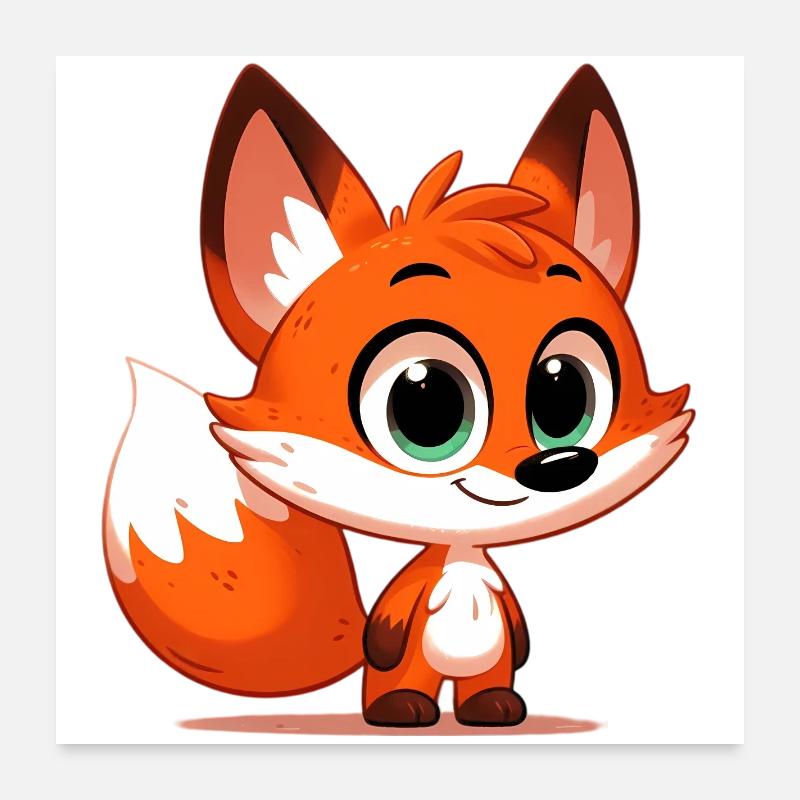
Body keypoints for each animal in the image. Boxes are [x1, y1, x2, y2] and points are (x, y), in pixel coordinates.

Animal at [103, 63, 693, 728]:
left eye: (564, 392)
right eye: (428, 404)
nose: (559, 465)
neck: (461, 555)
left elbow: (516, 631)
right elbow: (390, 625)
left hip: (485, 668)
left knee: (487, 682)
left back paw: (492, 707)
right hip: (407, 673)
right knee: (400, 683)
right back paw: (403, 708)